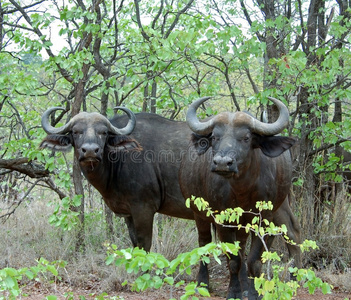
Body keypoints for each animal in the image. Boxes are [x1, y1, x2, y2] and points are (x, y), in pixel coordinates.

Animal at [180, 97, 298, 298]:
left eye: (246, 138)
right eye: (215, 137)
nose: (222, 163)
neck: (243, 189)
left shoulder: (264, 219)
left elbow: (253, 260)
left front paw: (254, 292)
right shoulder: (221, 221)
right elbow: (233, 260)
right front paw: (234, 292)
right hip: (199, 212)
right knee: (204, 243)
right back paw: (202, 283)